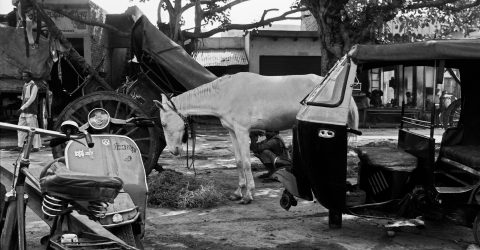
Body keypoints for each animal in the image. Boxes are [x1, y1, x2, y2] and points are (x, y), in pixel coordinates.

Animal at [153, 71, 356, 204]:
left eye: (163, 124)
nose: (174, 151)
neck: (225, 93)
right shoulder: (233, 132)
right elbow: (238, 162)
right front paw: (238, 193)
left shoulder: (242, 131)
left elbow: (246, 163)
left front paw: (248, 195)